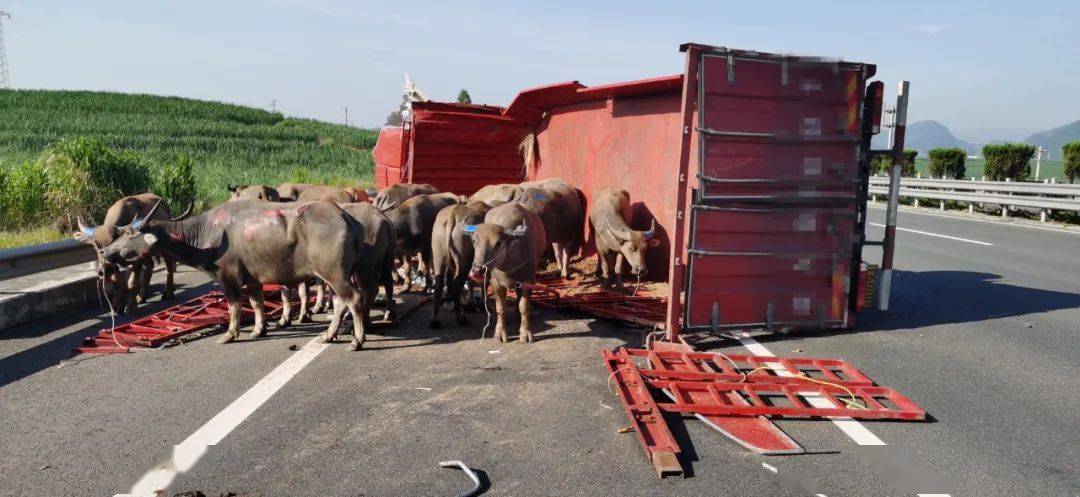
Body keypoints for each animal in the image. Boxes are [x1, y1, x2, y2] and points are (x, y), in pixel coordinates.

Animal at [98, 197, 375, 350]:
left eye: (128, 234)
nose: (105, 252)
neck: (206, 234)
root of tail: (346, 218)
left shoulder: (228, 278)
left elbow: (234, 307)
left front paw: (230, 334)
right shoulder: (253, 280)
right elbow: (257, 303)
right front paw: (259, 329)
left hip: (335, 274)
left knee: (354, 300)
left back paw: (356, 341)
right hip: (335, 276)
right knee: (340, 303)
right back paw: (328, 335)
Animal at [427, 199, 492, 328]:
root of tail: (454, 213)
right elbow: (484, 280)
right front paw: (482, 306)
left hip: (438, 239)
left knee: (440, 280)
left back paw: (435, 320)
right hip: (463, 244)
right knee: (457, 284)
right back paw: (461, 318)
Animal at [466, 202, 544, 341]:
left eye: (498, 243)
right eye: (474, 241)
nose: (477, 271)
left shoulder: (528, 280)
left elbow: (524, 306)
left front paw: (525, 333)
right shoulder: (495, 282)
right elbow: (500, 307)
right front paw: (500, 333)